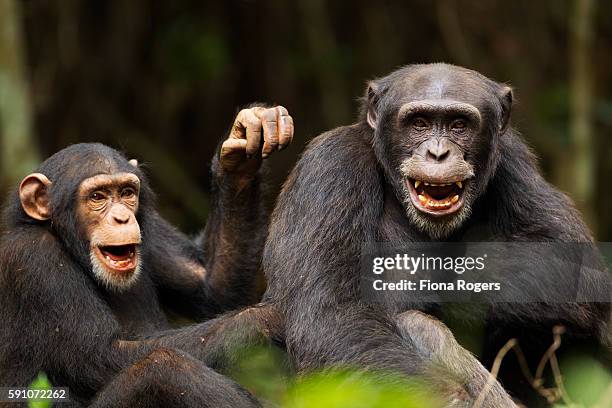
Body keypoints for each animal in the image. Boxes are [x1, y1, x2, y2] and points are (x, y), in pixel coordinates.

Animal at [0, 104, 294, 404]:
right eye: (97, 197)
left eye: (127, 192)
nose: (122, 217)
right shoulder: (33, 257)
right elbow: (99, 355)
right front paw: (268, 317)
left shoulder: (151, 228)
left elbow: (210, 288)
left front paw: (244, 143)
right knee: (162, 367)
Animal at [260, 63, 608, 404]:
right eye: (419, 123)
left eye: (459, 125)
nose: (438, 153)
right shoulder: (331, 167)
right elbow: (336, 317)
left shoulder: (515, 161)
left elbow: (574, 265)